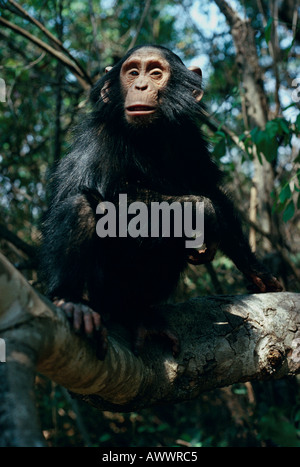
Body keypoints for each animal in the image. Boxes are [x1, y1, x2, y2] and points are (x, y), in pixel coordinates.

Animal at [39, 45, 282, 358]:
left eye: (155, 73)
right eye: (132, 72)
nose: (141, 85)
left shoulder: (189, 136)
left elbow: (210, 187)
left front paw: (256, 270)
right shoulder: (100, 135)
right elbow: (102, 193)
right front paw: (203, 210)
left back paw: (138, 314)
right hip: (101, 292)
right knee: (81, 206)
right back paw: (72, 301)